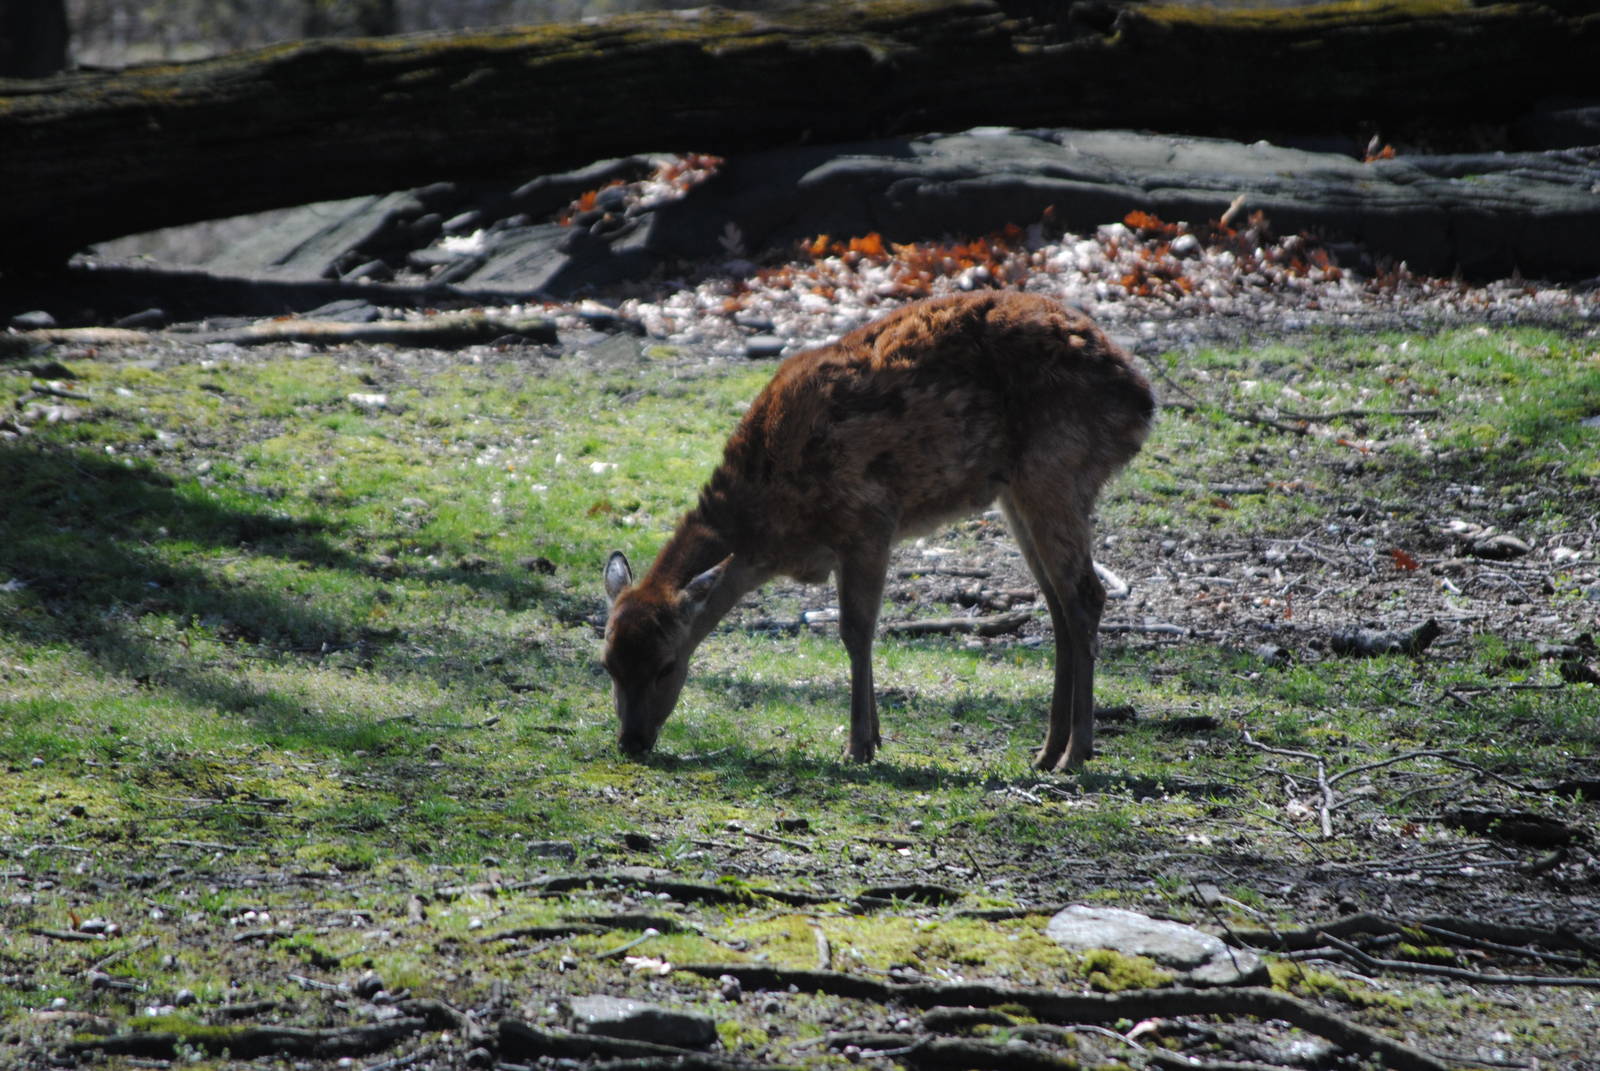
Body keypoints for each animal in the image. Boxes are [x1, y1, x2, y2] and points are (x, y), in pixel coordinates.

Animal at [602, 290, 1155, 770]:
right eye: (607, 664)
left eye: (667, 665)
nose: (631, 741)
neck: (772, 528)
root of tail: (1142, 402)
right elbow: (858, 630)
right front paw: (876, 736)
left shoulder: (868, 519)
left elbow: (855, 630)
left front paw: (859, 745)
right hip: (1018, 491)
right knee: (1059, 605)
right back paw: (1047, 750)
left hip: (1056, 468)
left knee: (1086, 596)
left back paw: (1076, 753)